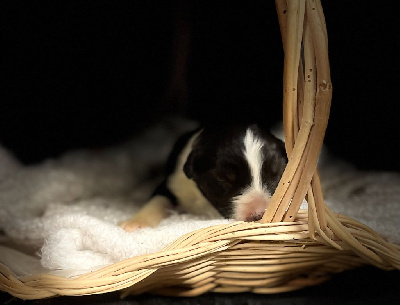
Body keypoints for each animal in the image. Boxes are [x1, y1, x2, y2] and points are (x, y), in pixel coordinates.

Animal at [119, 123, 288, 230]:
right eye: (222, 179)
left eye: (277, 174)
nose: (259, 215)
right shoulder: (173, 182)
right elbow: (158, 199)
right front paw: (136, 223)